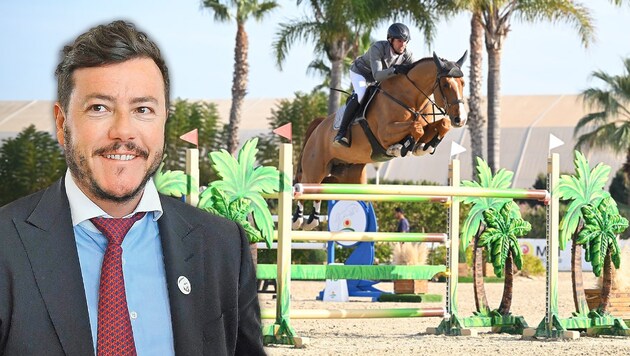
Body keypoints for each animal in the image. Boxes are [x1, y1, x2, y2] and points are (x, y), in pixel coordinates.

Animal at [296, 52, 470, 231]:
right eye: (446, 84)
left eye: (463, 83)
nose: (461, 119)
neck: (410, 98)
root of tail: (318, 127)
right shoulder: (385, 133)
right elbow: (416, 128)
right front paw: (402, 147)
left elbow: (441, 124)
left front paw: (422, 146)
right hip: (315, 168)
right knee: (303, 186)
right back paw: (301, 220)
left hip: (349, 177)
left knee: (319, 190)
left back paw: (312, 220)